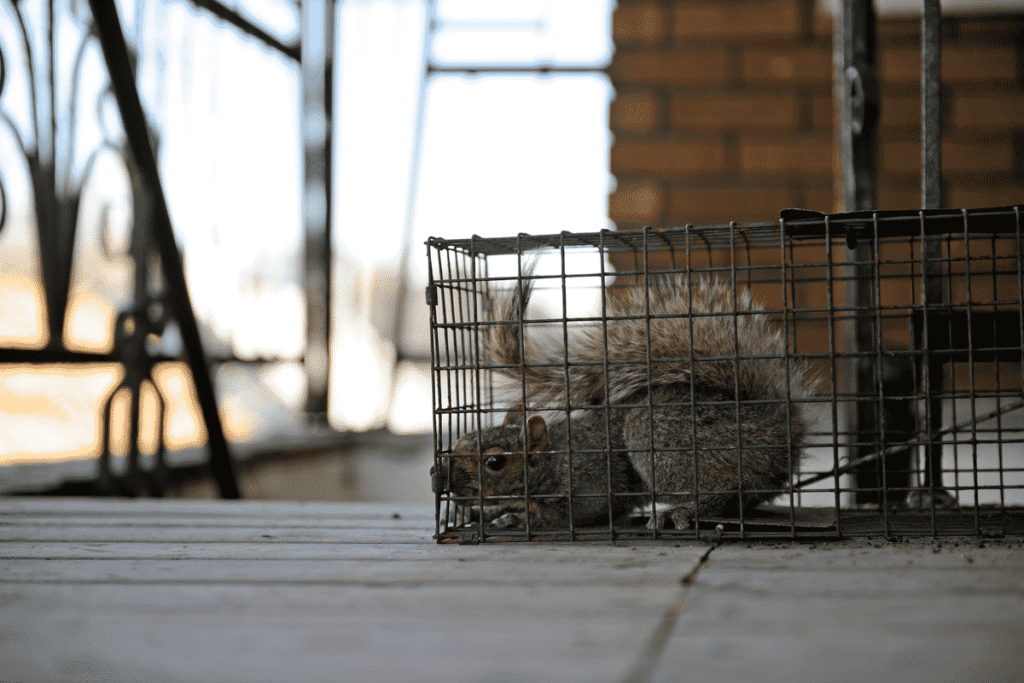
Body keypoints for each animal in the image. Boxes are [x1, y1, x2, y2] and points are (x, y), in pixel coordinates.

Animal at [433, 264, 812, 531]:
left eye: (495, 462)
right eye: (463, 439)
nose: (440, 475)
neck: (554, 459)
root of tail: (775, 428)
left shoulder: (590, 482)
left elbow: (577, 514)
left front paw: (518, 519)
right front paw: (481, 510)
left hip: (658, 437)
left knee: (730, 491)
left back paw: (684, 510)